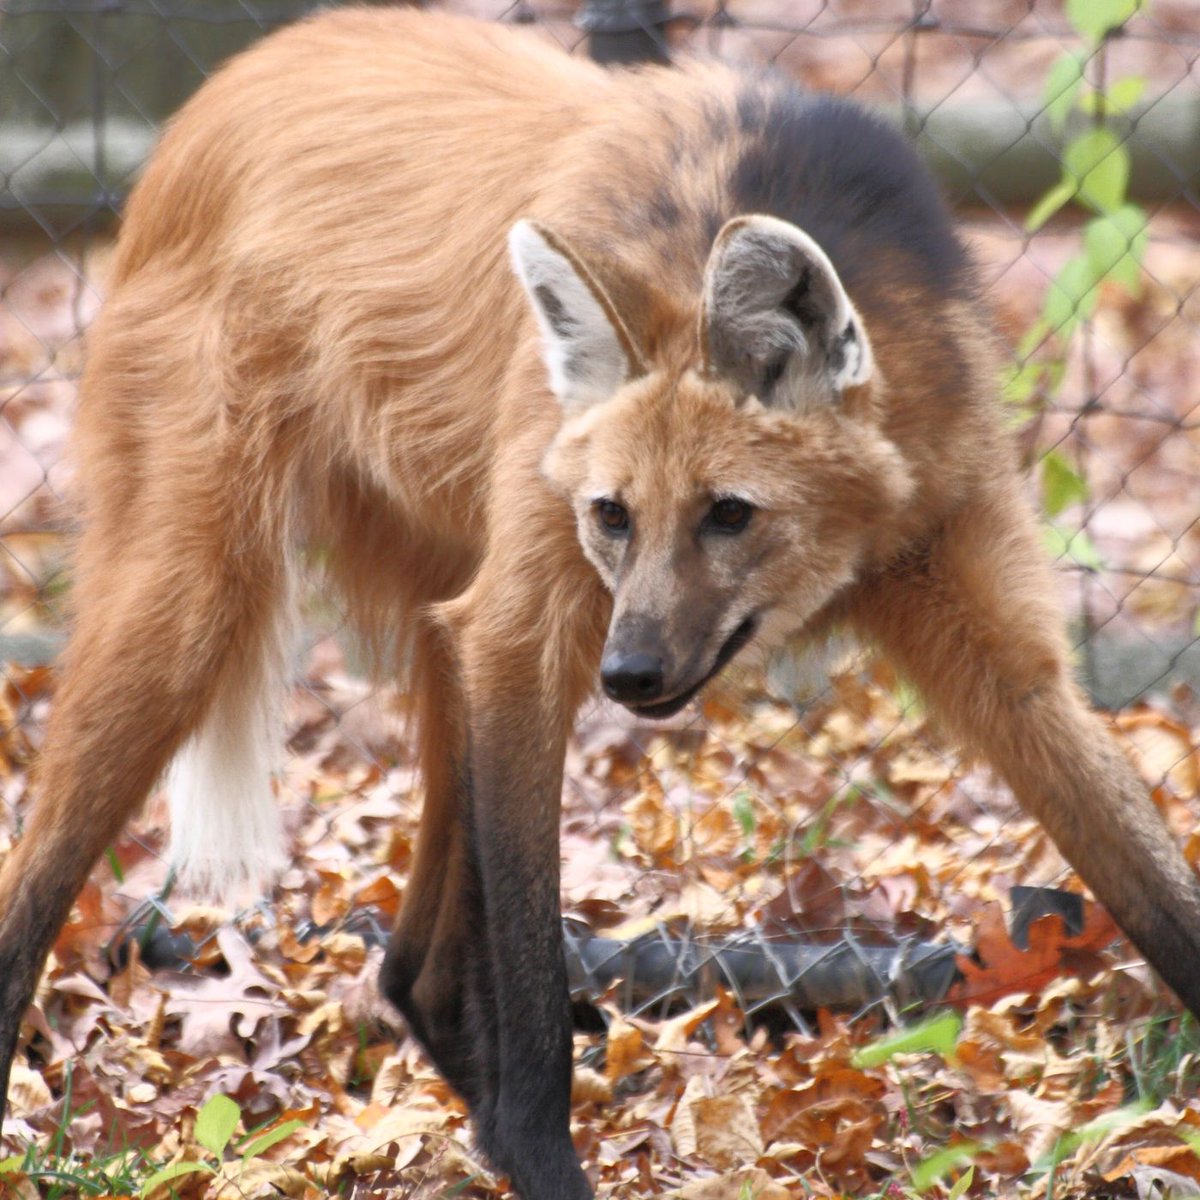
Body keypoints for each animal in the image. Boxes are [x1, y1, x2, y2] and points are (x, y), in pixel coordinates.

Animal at [2, 9, 1200, 1200]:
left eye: (729, 514)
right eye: (615, 514)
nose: (630, 677)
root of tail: (217, 93)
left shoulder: (982, 619)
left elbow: (1153, 883)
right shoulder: (530, 634)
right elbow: (533, 961)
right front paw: (542, 1150)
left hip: (445, 614)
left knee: (413, 966)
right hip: (199, 606)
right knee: (43, 878)